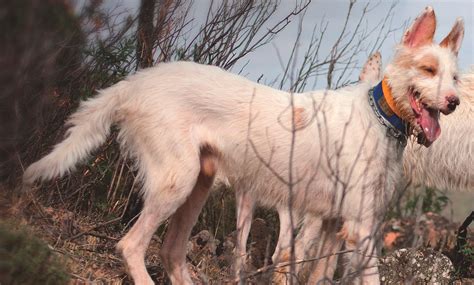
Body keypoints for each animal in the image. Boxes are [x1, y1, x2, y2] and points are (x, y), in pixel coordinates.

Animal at [23, 6, 462, 282]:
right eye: (427, 69)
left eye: (455, 77)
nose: (455, 102)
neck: (379, 116)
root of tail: (135, 82)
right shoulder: (359, 228)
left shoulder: (332, 224)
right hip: (175, 182)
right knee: (131, 246)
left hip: (197, 187)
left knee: (171, 253)